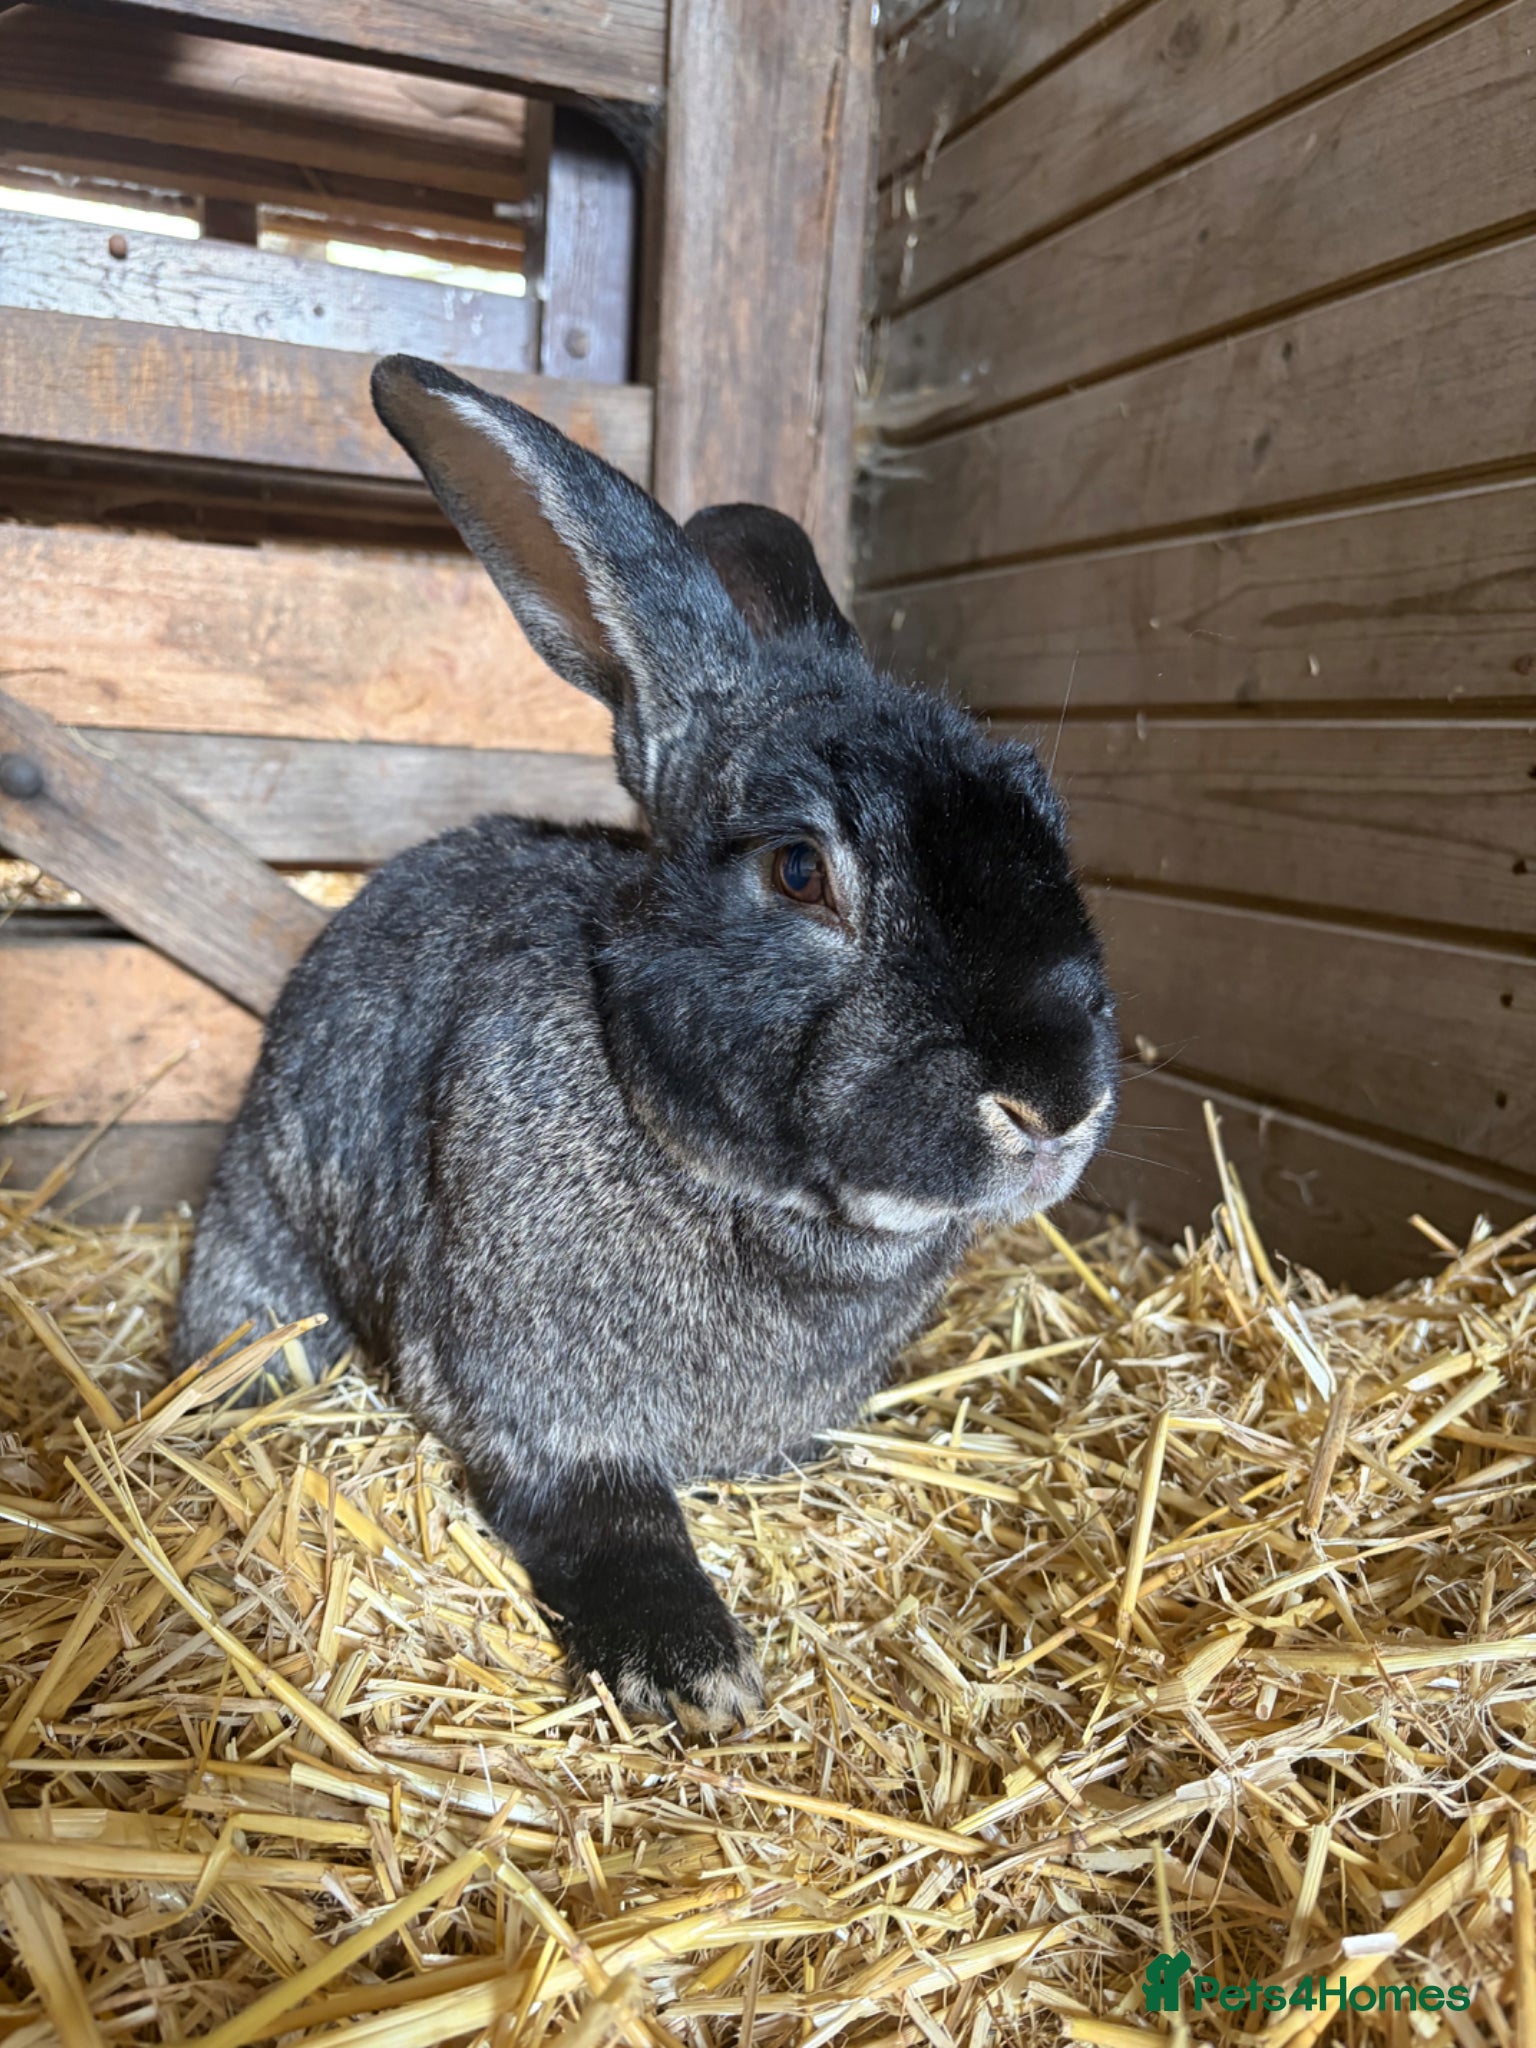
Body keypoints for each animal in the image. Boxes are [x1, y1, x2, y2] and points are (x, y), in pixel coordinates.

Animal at [173, 354, 1118, 1732]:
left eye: (1045, 812)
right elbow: (607, 1520)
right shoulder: (537, 1410)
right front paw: (697, 1676)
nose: (1056, 1099)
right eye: (798, 869)